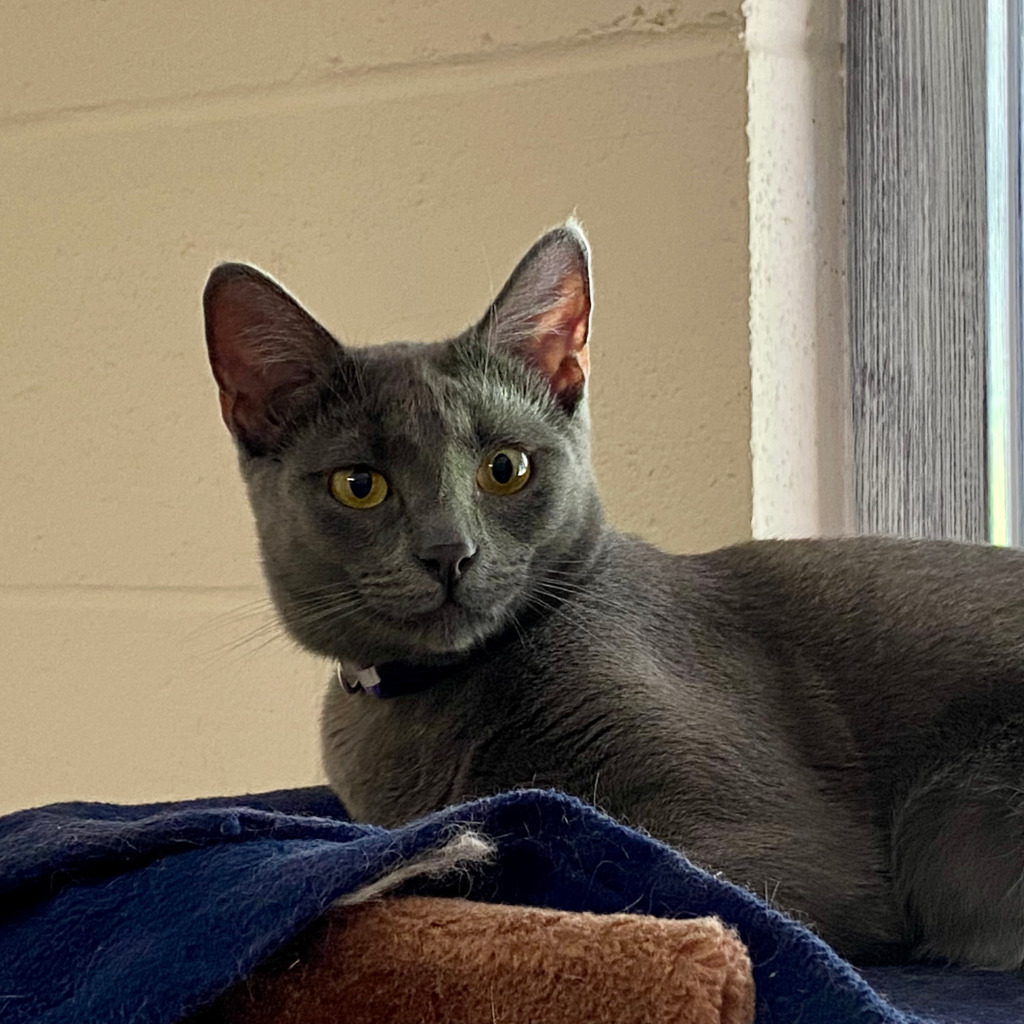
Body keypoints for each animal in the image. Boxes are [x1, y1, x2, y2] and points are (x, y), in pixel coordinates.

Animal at [203, 222, 1024, 966]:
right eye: (359, 484)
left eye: (506, 468)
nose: (449, 553)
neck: (427, 707)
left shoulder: (769, 848)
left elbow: (591, 871)